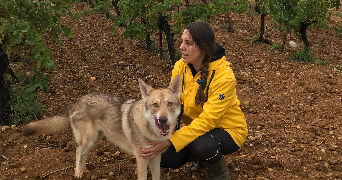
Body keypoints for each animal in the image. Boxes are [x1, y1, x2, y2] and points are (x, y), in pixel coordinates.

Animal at [22, 75, 180, 179]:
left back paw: (84, 170)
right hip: (89, 139)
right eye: (155, 105)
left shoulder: (156, 157)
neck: (152, 133)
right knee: (78, 150)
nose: (163, 119)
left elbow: (156, 177)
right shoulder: (141, 159)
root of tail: (76, 101)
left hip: (95, 140)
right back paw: (78, 173)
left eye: (170, 104)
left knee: (83, 153)